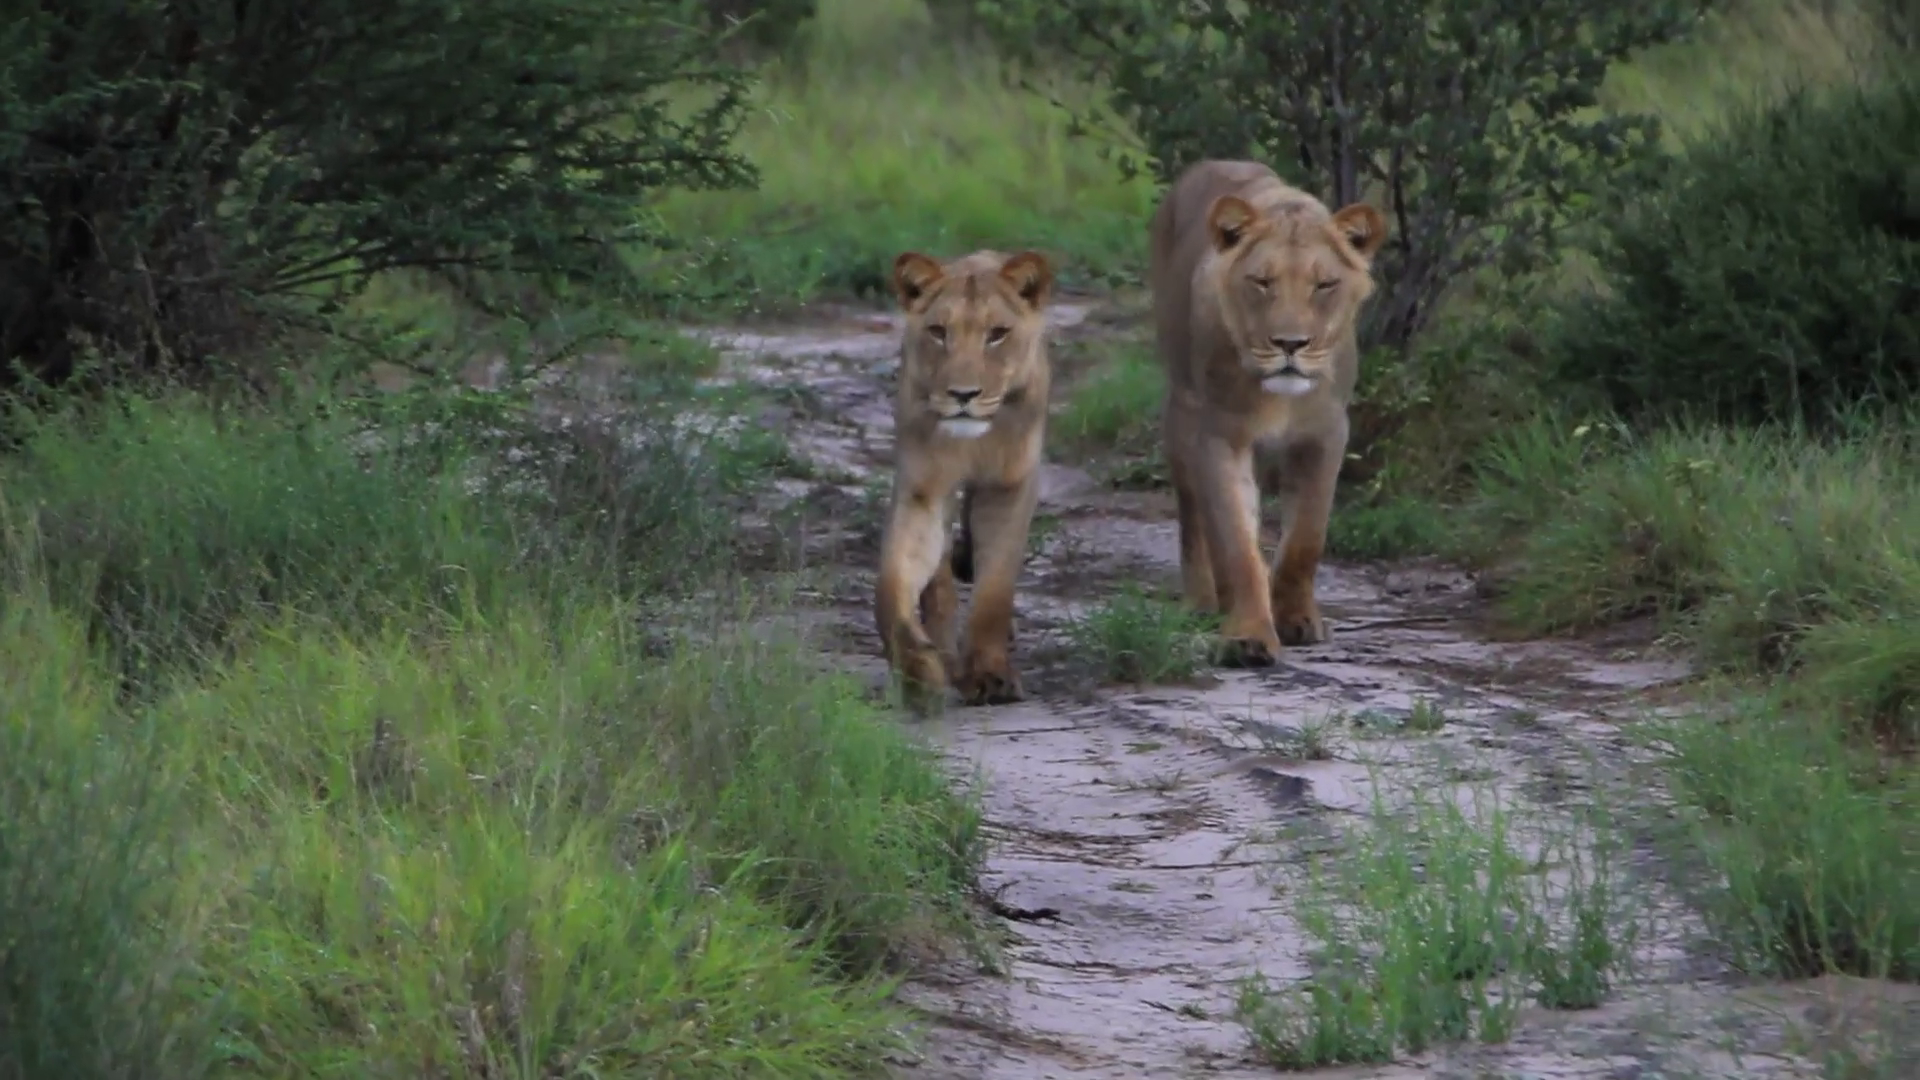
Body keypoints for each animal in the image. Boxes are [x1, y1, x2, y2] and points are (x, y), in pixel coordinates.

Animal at [875, 248, 1054, 706]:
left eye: (998, 334)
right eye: (939, 331)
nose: (963, 395)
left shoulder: (1009, 486)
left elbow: (994, 591)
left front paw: (990, 674)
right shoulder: (923, 490)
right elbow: (891, 588)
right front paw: (919, 668)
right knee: (938, 586)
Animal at [1149, 159, 1388, 667]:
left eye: (1324, 285)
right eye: (1262, 282)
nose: (1290, 344)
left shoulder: (1325, 435)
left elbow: (1304, 540)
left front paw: (1298, 619)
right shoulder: (1221, 436)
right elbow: (1238, 545)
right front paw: (1247, 636)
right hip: (1181, 412)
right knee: (1194, 516)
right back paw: (1203, 602)